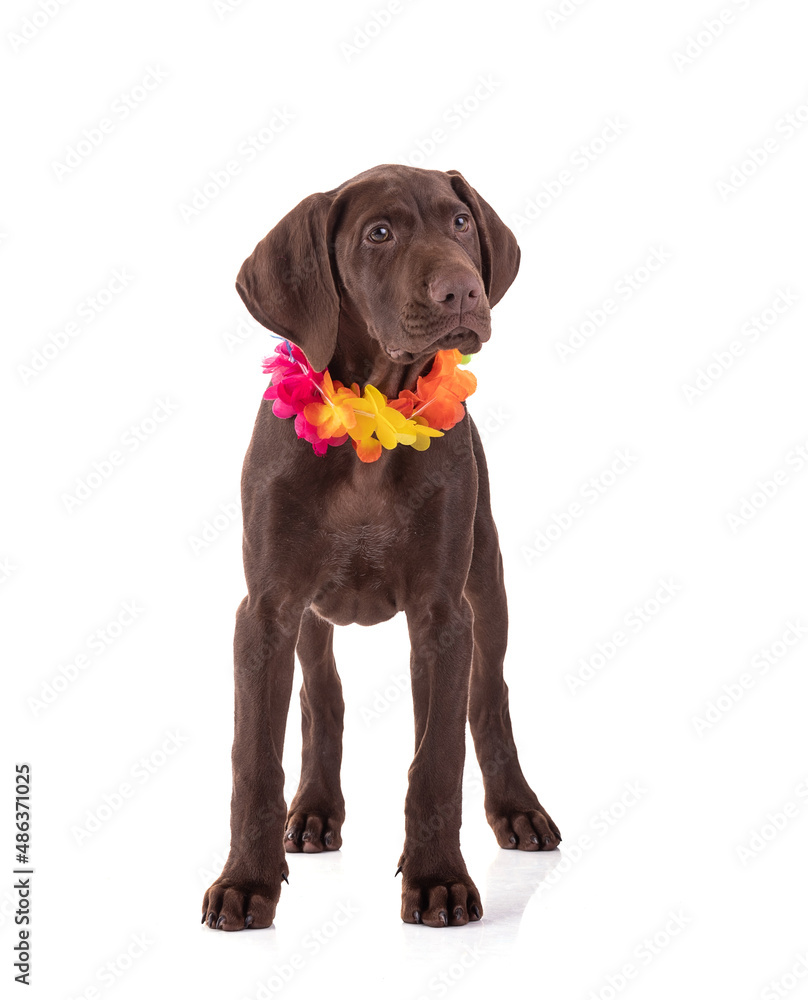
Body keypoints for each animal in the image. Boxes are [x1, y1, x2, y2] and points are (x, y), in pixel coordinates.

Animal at [202, 162, 560, 928]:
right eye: (379, 233)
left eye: (460, 222)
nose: (463, 290)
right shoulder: (266, 611)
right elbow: (254, 759)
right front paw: (246, 881)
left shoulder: (441, 612)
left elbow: (437, 758)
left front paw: (437, 880)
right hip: (308, 614)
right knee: (322, 697)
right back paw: (312, 810)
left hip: (486, 575)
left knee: (486, 696)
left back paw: (517, 806)